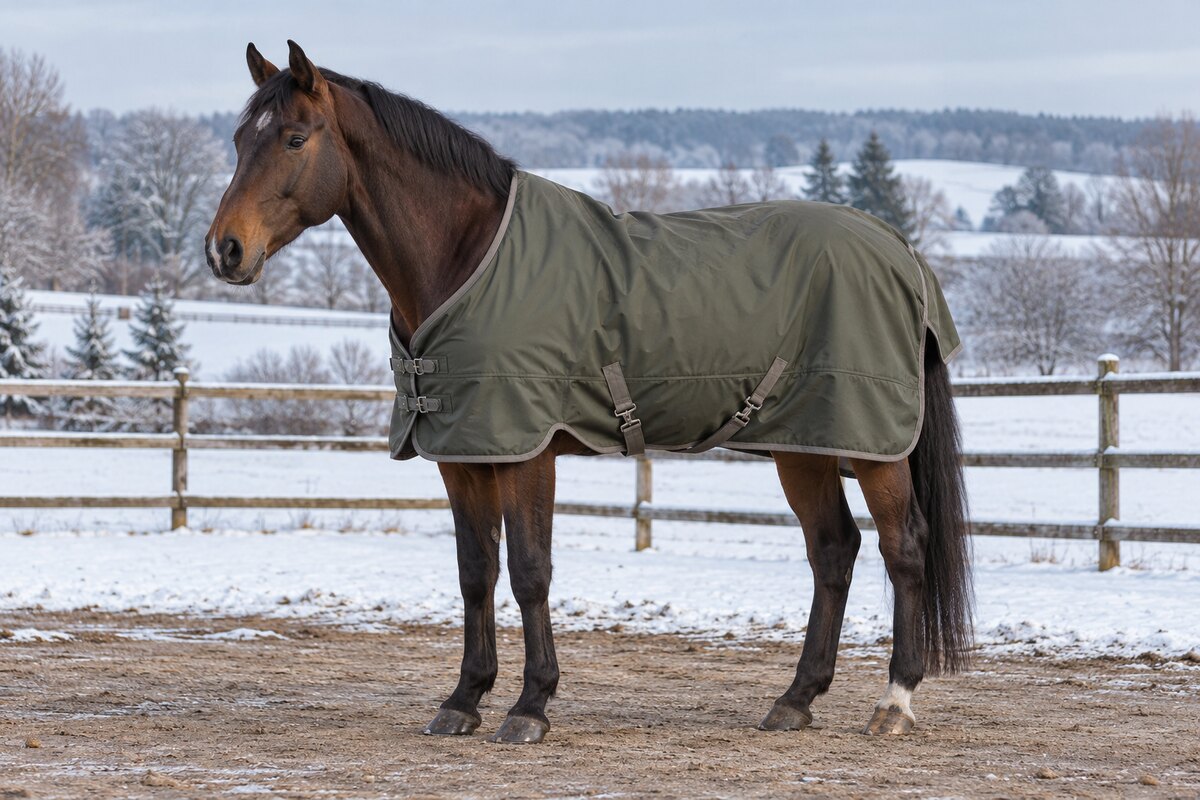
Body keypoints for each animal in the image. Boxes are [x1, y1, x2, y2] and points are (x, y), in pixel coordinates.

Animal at [206, 41, 973, 745]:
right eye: (241, 139)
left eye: (295, 138)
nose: (225, 250)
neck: (468, 257)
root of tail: (899, 248)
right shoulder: (462, 454)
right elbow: (475, 572)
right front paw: (463, 700)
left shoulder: (525, 451)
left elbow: (529, 572)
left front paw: (529, 707)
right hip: (803, 444)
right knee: (833, 550)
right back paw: (796, 699)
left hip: (871, 447)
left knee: (903, 548)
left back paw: (895, 703)